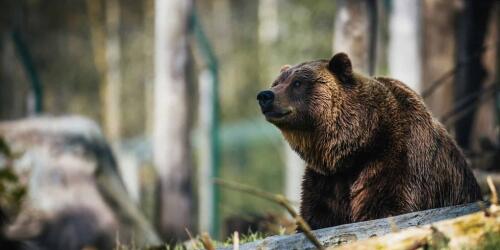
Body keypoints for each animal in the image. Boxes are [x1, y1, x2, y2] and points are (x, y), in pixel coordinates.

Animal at [256, 53, 482, 230]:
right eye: (277, 83)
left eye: (298, 83)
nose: (265, 95)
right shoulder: (327, 180)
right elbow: (317, 216)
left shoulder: (397, 160)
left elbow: (386, 207)